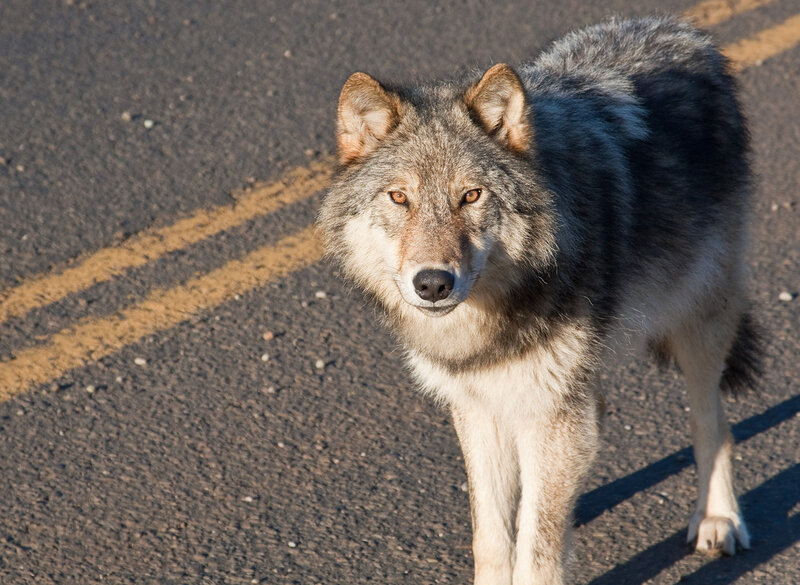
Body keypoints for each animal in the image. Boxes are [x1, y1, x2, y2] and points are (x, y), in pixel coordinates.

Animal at [318, 16, 761, 585]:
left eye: (471, 196)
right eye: (400, 198)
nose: (433, 283)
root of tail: (676, 28)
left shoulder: (548, 410)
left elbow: (537, 553)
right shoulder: (480, 408)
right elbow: (491, 537)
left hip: (699, 323)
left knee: (712, 424)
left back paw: (719, 519)